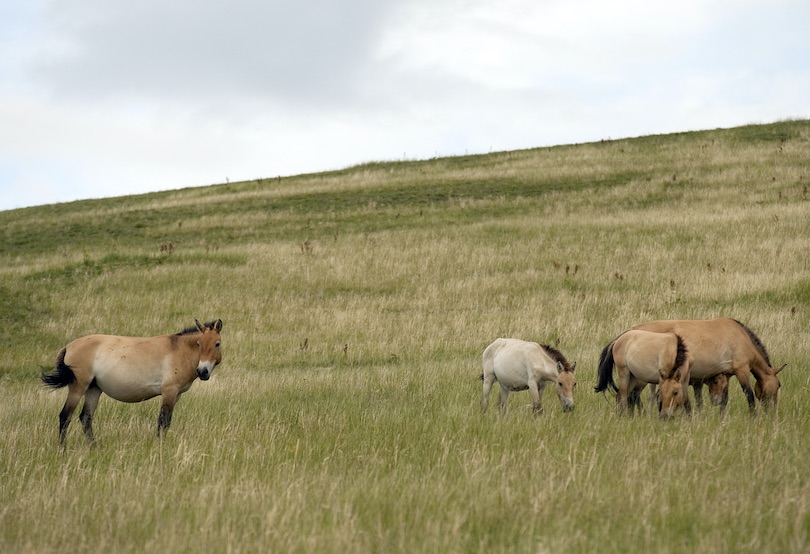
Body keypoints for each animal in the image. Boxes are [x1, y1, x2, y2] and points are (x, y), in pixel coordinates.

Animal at [41, 316, 221, 442]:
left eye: (217, 343)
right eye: (199, 343)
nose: (203, 371)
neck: (179, 350)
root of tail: (68, 346)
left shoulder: (176, 394)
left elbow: (166, 422)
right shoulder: (169, 391)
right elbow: (163, 420)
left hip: (93, 389)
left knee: (85, 418)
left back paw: (93, 447)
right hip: (78, 387)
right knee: (65, 416)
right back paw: (63, 449)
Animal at [632, 316, 784, 412]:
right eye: (779, 385)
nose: (772, 410)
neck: (742, 337)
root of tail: (633, 329)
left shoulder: (725, 376)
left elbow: (724, 400)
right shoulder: (742, 370)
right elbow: (749, 395)